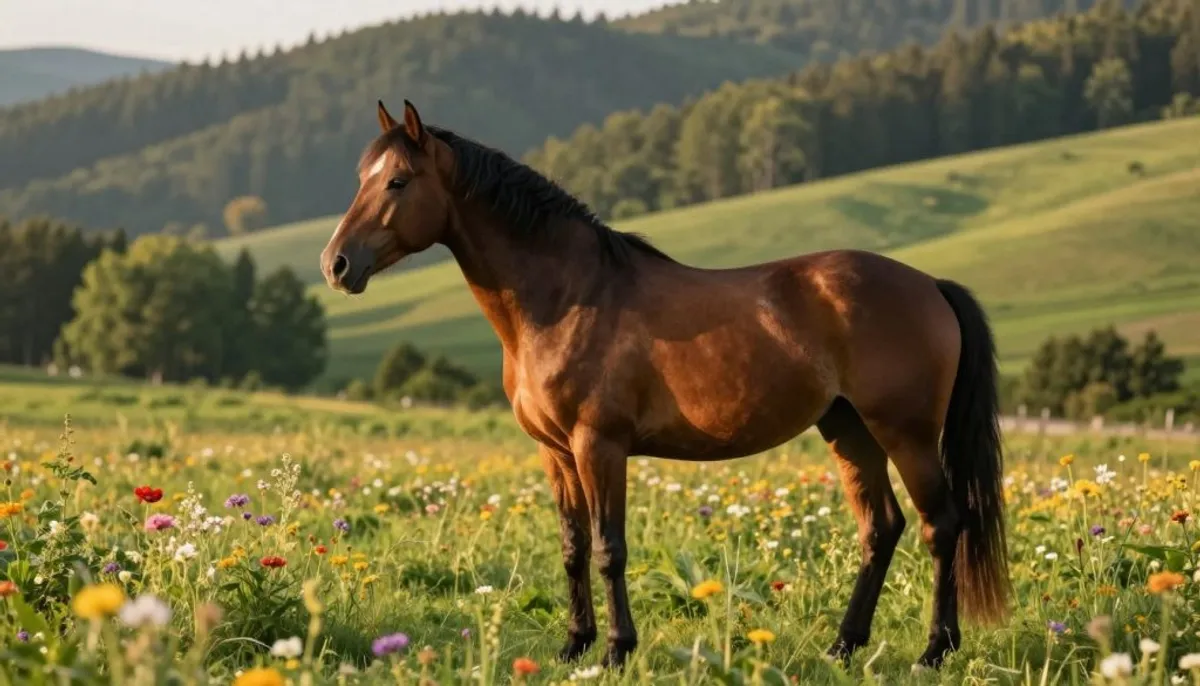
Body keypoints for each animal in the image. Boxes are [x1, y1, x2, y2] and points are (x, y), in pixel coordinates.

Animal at [319, 100, 1011, 671]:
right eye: (361, 178)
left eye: (398, 181)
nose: (336, 264)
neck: (566, 298)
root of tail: (930, 285)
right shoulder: (555, 453)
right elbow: (572, 547)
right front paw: (573, 645)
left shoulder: (599, 446)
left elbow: (609, 548)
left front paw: (618, 649)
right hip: (848, 428)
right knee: (882, 528)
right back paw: (843, 647)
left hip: (905, 434)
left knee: (943, 524)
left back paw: (934, 651)